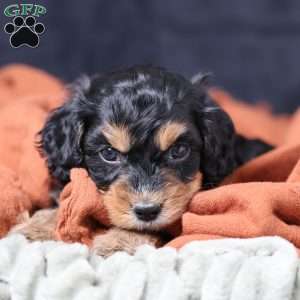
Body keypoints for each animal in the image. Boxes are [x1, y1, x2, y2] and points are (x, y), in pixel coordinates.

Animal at [11, 65, 272, 255]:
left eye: (179, 151)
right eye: (109, 154)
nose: (147, 210)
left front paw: (118, 242)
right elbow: (66, 199)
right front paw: (37, 228)